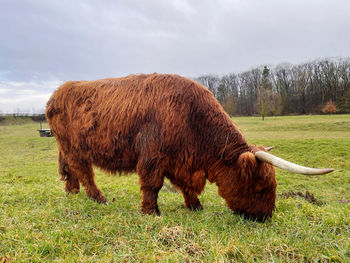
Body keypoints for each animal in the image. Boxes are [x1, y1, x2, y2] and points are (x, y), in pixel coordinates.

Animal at [46, 73, 334, 222]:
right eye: (261, 187)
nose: (265, 217)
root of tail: (57, 93)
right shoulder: (153, 155)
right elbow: (153, 185)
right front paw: (151, 212)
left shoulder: (180, 160)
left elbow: (185, 186)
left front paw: (195, 205)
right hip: (74, 146)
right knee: (84, 171)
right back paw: (99, 198)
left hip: (65, 145)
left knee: (70, 169)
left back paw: (71, 191)